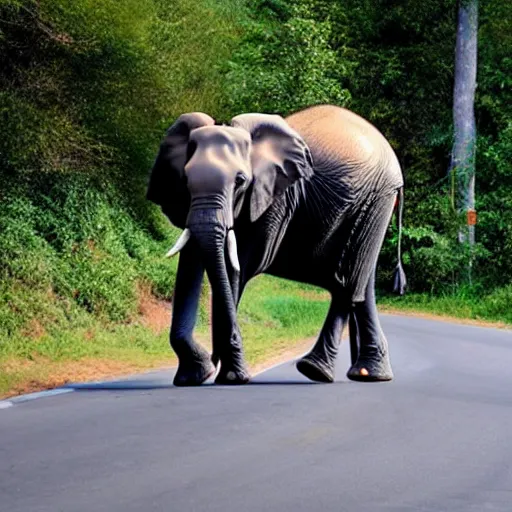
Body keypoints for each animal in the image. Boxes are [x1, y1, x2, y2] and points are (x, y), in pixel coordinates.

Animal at [146, 103, 406, 384]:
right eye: (184, 180)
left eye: (240, 181)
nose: (215, 361)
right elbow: (190, 266)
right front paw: (194, 377)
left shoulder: (275, 198)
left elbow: (238, 267)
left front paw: (230, 377)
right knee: (362, 283)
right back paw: (366, 374)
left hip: (377, 199)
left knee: (349, 281)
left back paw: (315, 370)